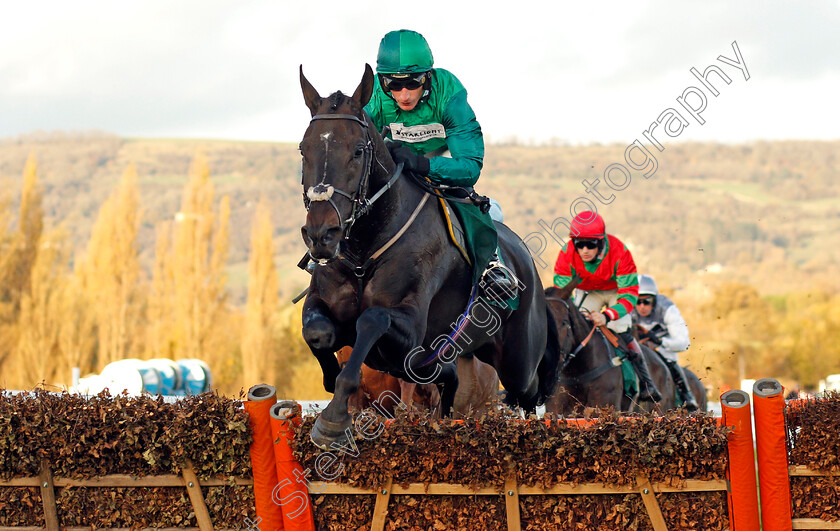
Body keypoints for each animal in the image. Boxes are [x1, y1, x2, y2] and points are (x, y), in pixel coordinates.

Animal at [296, 65, 556, 448]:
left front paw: (333, 419)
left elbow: (371, 319)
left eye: (357, 151)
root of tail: (524, 258)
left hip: (518, 359)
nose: (321, 234)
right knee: (448, 376)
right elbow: (318, 331)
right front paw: (331, 383)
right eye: (304, 149)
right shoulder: (327, 305)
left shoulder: (410, 325)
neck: (365, 250)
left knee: (529, 393)